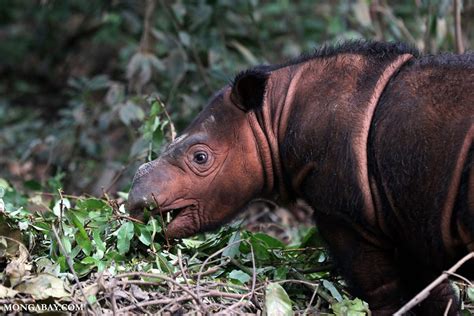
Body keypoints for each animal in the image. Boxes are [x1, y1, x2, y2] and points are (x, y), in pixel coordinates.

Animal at [128, 41, 472, 314]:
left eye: (200, 158)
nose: (136, 202)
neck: (275, 115)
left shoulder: (346, 213)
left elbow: (381, 289)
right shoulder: (411, 213)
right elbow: (432, 289)